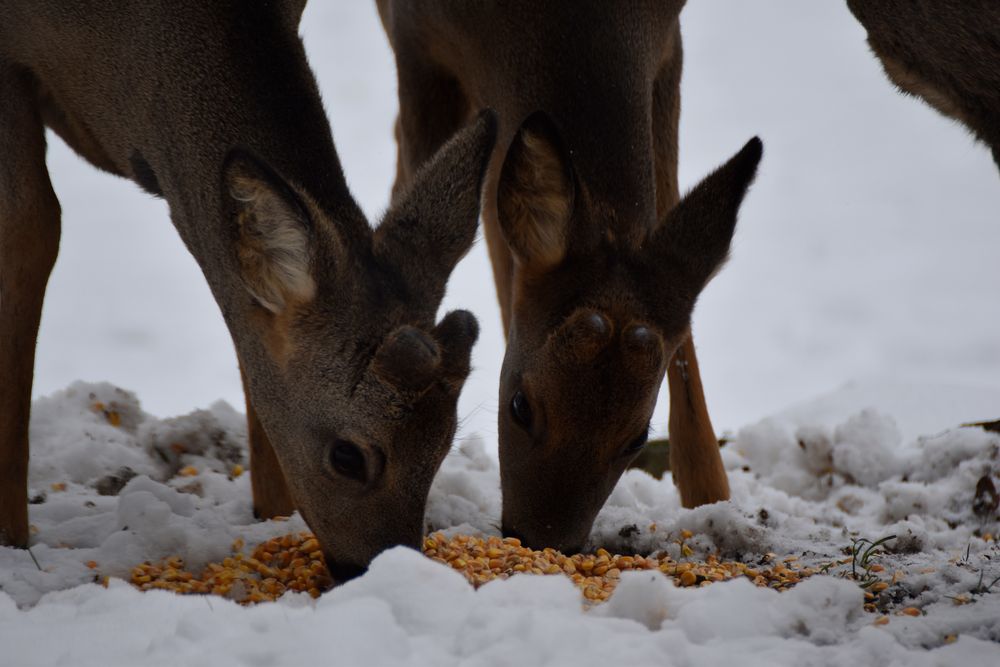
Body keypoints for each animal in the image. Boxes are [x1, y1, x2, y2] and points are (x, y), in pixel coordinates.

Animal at [0, 0, 498, 580]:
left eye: (444, 445)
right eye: (347, 457)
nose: (376, 569)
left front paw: (271, 516)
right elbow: (29, 224)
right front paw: (11, 543)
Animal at [378, 0, 760, 552]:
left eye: (637, 435)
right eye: (519, 405)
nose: (543, 540)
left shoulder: (670, 40)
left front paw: (716, 505)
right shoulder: (416, 42)